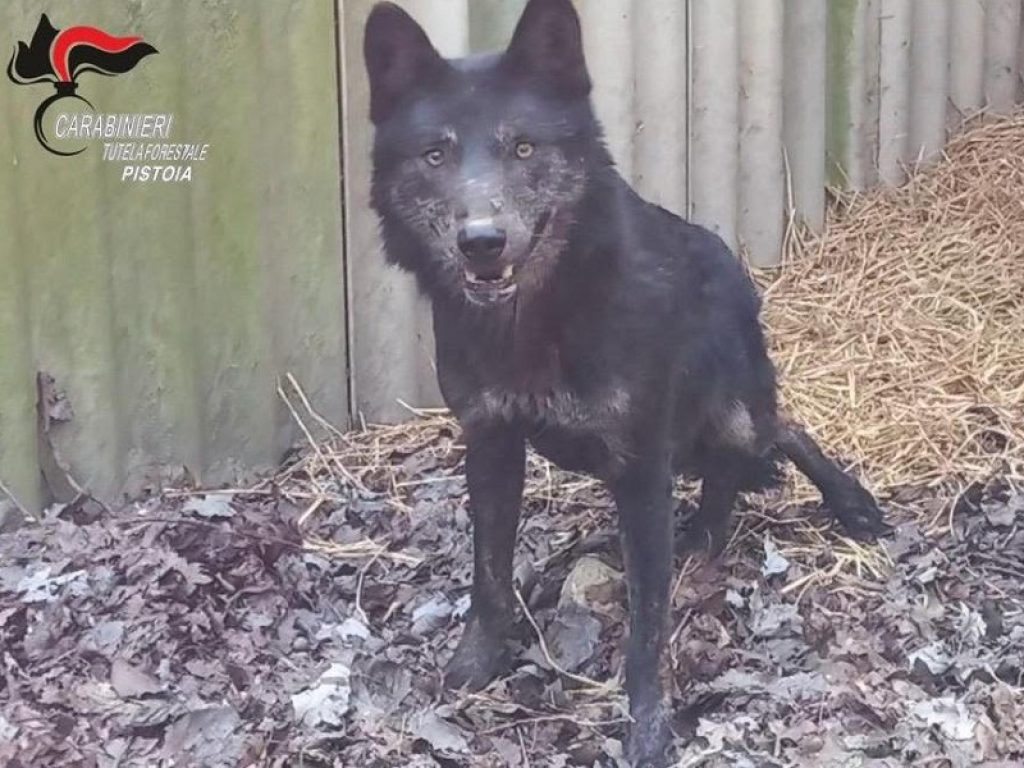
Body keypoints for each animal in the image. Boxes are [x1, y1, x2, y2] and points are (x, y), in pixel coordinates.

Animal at [363, 0, 890, 764]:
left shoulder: (642, 465)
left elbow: (648, 628)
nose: (482, 242)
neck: (536, 323)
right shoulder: (491, 443)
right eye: (436, 154)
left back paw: (838, 505)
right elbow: (489, 573)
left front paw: (648, 726)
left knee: (778, 432)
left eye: (524, 149)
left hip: (728, 415)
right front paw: (475, 665)